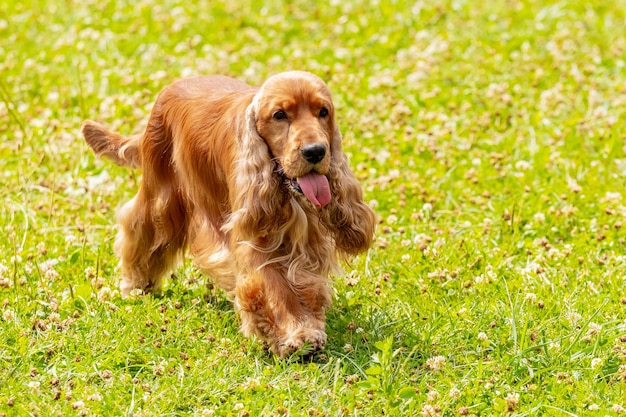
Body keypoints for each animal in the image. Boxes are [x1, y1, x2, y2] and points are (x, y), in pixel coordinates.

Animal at [82, 70, 376, 354]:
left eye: (323, 111)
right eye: (279, 115)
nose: (315, 152)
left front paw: (306, 326)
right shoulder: (256, 238)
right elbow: (275, 286)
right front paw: (295, 334)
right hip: (160, 196)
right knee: (139, 228)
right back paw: (136, 284)